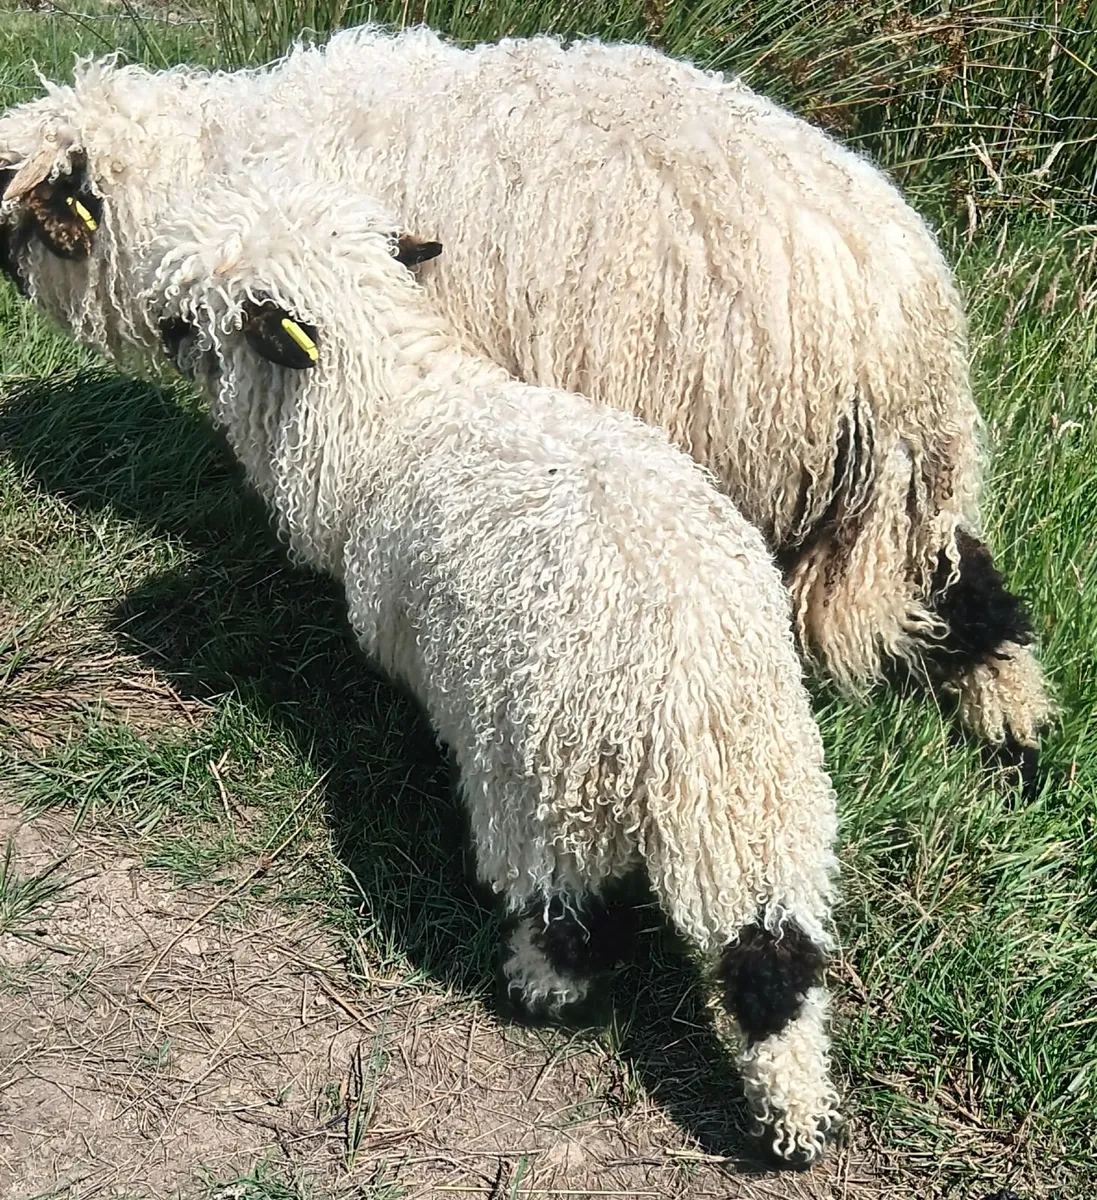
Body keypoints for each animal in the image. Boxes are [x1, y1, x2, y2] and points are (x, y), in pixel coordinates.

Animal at [0, 27, 1054, 786]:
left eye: (18, 218)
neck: (206, 169)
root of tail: (892, 312)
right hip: (920, 479)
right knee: (966, 583)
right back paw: (1017, 740)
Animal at [135, 171, 844, 1166]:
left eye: (203, 309)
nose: (154, 322)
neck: (398, 409)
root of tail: (683, 694)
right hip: (761, 797)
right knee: (774, 955)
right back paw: (794, 1119)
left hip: (545, 789)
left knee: (567, 914)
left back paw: (538, 986)